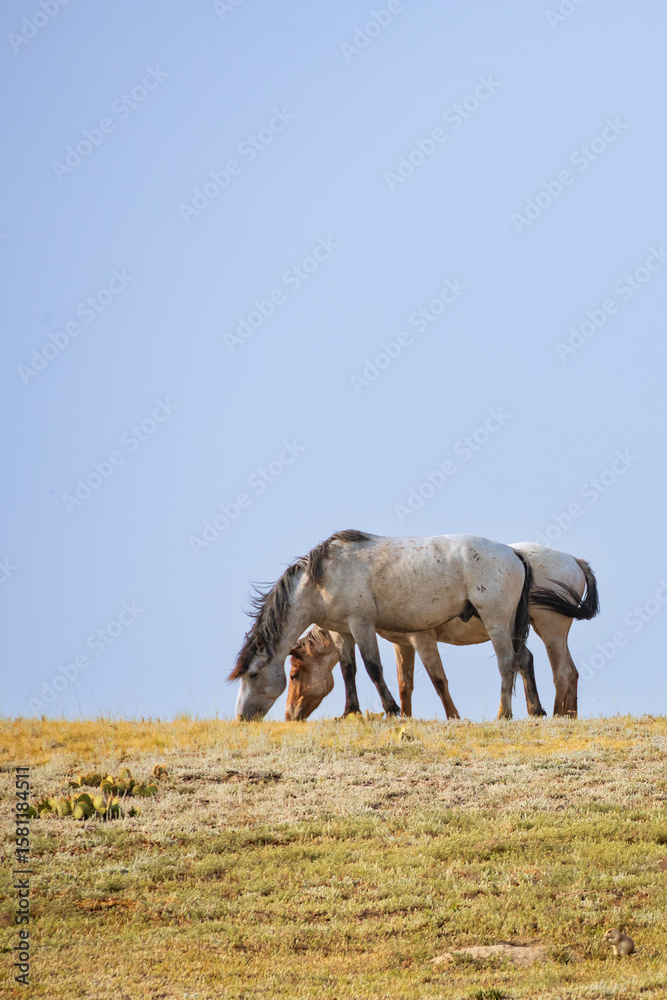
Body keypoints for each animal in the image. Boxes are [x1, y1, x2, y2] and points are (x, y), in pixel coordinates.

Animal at [229, 531, 570, 721]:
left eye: (253, 674)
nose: (242, 717)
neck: (321, 580)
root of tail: (514, 552)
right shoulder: (342, 631)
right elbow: (349, 670)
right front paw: (349, 712)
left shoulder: (362, 624)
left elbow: (372, 668)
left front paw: (391, 709)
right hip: (511, 625)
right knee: (523, 659)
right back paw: (536, 710)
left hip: (496, 621)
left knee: (506, 663)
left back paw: (504, 714)